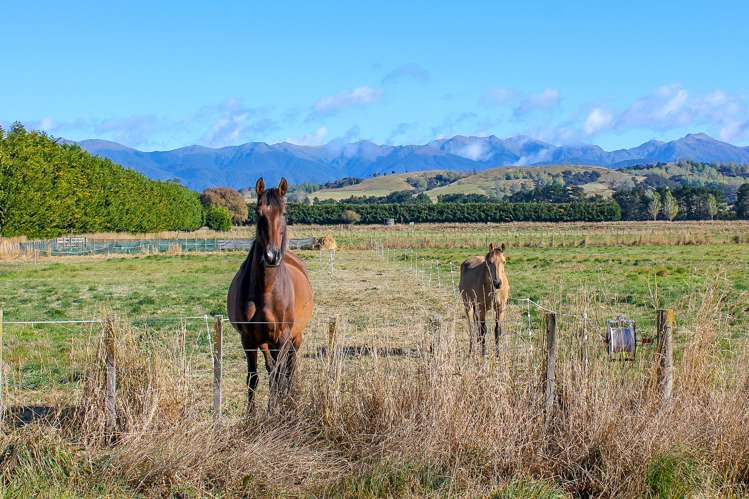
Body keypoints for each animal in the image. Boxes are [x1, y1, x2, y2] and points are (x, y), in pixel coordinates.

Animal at [225, 178, 312, 412]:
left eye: (285, 212)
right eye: (258, 212)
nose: (272, 256)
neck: (266, 290)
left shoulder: (282, 337)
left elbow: (278, 375)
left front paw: (275, 410)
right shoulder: (248, 339)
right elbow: (253, 378)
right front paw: (251, 415)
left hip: (294, 337)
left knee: (289, 368)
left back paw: (288, 399)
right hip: (265, 341)